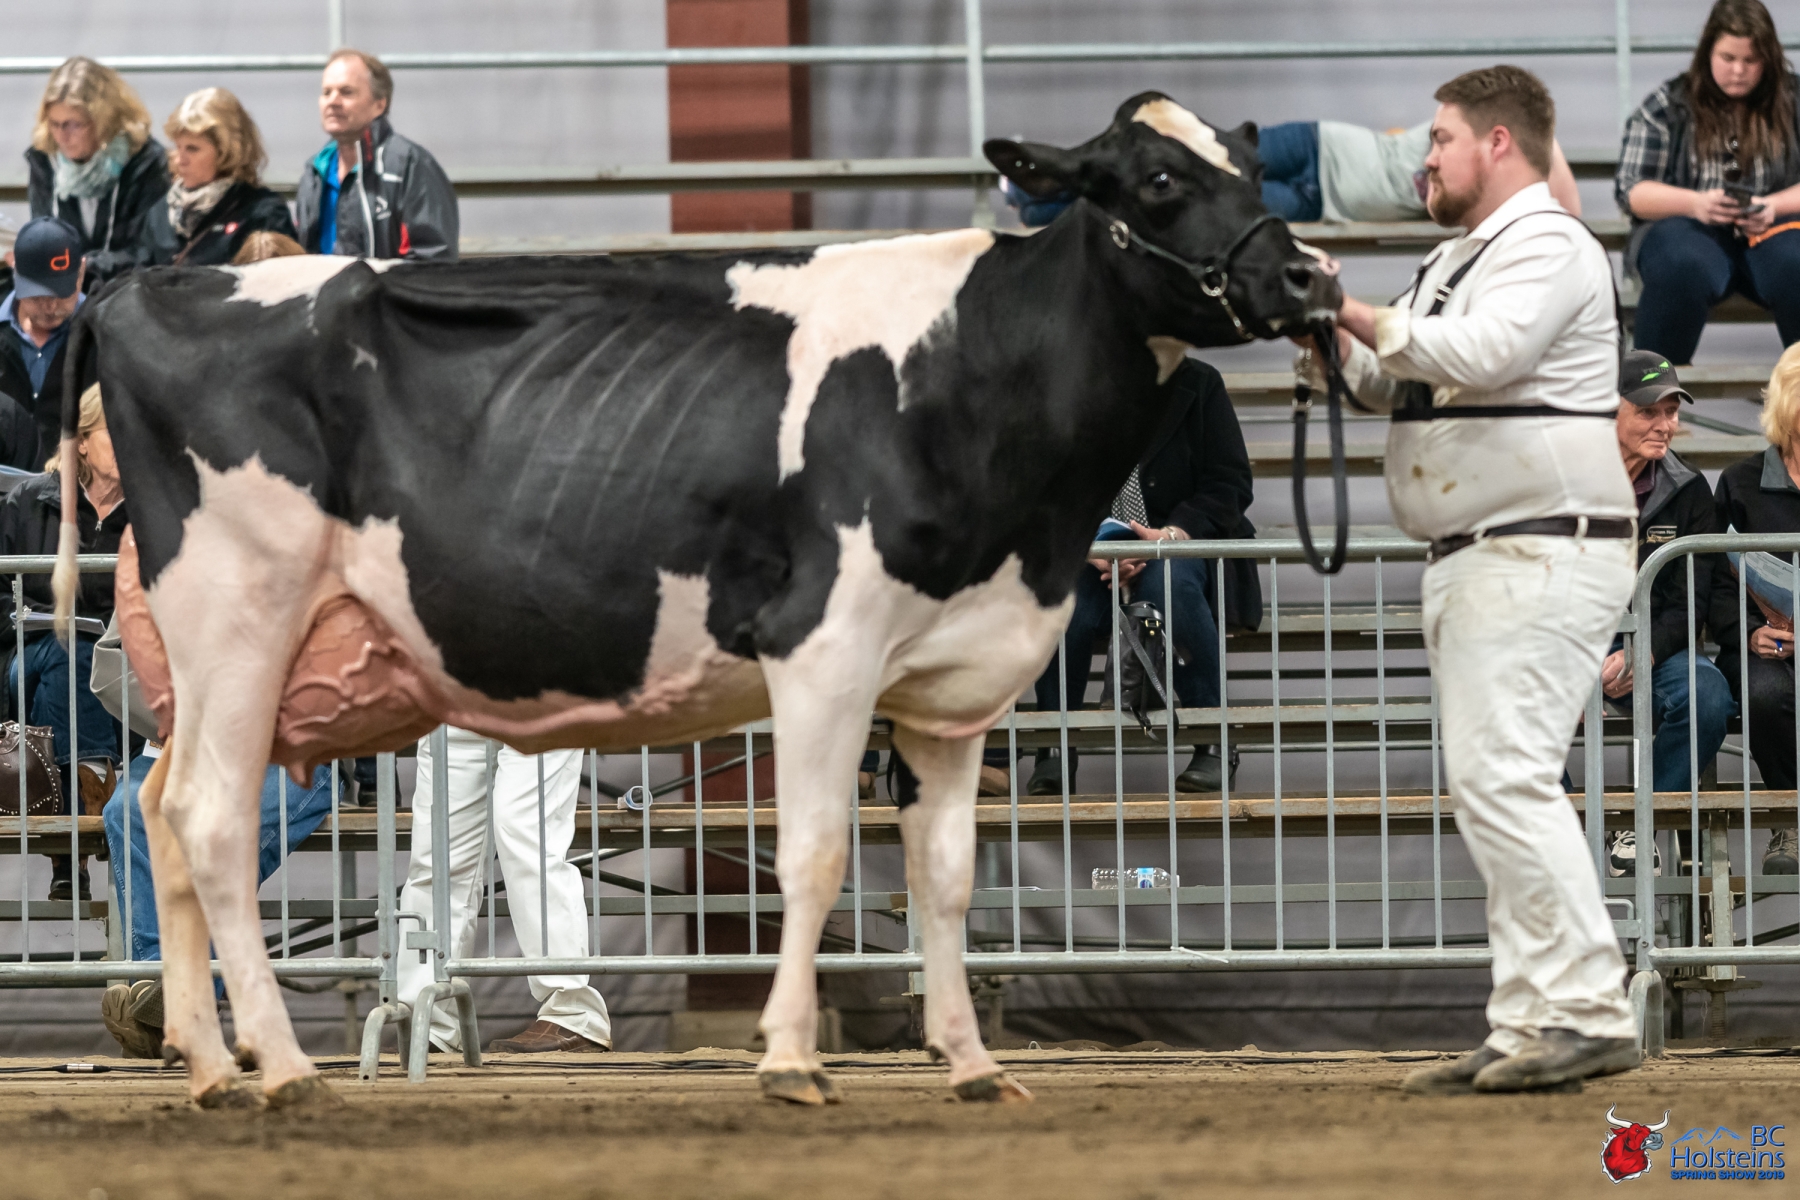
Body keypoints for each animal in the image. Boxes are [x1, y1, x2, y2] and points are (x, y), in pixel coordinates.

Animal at [55, 91, 1338, 1110]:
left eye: (1246, 157)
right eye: (1161, 179)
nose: (1308, 277)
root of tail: (148, 288)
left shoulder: (950, 682)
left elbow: (946, 875)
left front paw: (973, 1067)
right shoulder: (824, 646)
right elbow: (814, 852)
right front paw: (790, 1060)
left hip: (218, 663)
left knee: (162, 811)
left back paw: (210, 1067)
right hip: (240, 615)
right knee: (211, 819)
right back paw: (281, 1070)